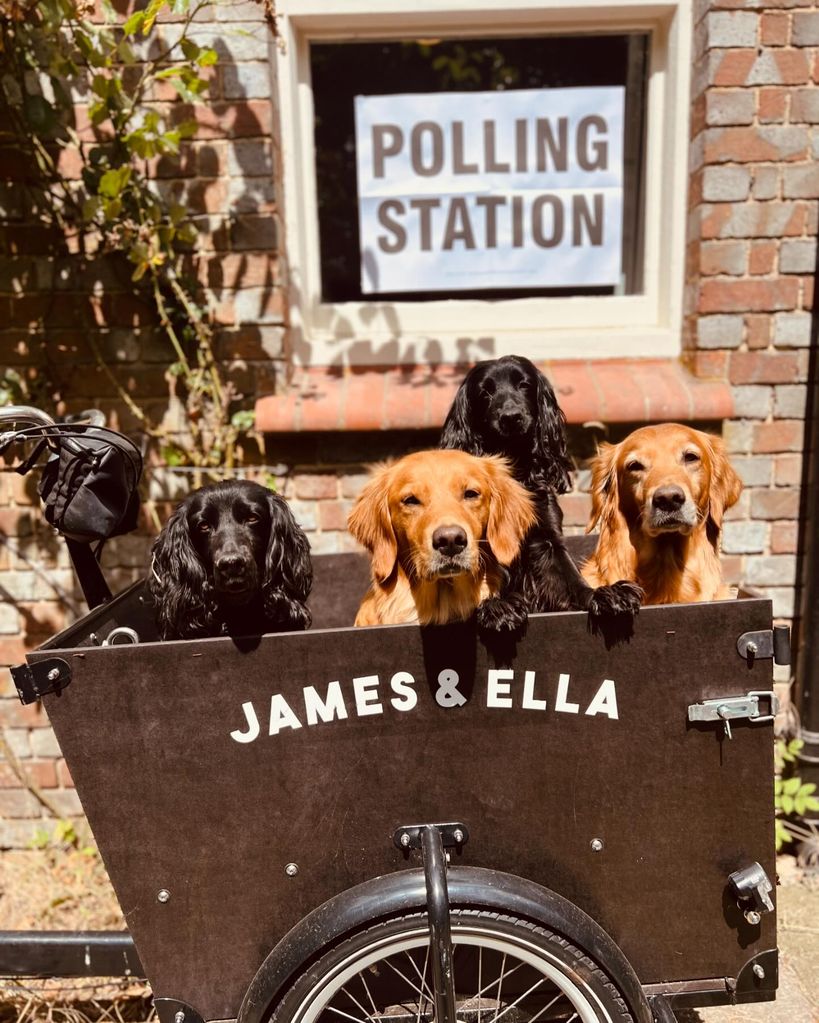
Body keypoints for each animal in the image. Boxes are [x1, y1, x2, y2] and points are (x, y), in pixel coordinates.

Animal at [441, 360, 638, 630]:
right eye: (485, 392)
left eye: (524, 384)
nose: (511, 417)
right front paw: (497, 606)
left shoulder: (547, 539)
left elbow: (571, 579)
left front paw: (606, 594)